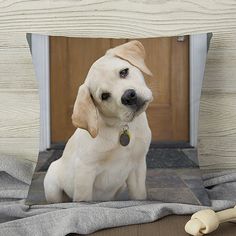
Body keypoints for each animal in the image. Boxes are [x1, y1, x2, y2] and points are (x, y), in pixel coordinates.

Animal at [44, 40, 153, 203]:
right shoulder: (85, 170)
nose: (129, 96)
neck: (120, 127)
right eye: (104, 96)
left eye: (124, 72)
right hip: (51, 184)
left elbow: (139, 196)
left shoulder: (138, 166)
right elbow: (83, 197)